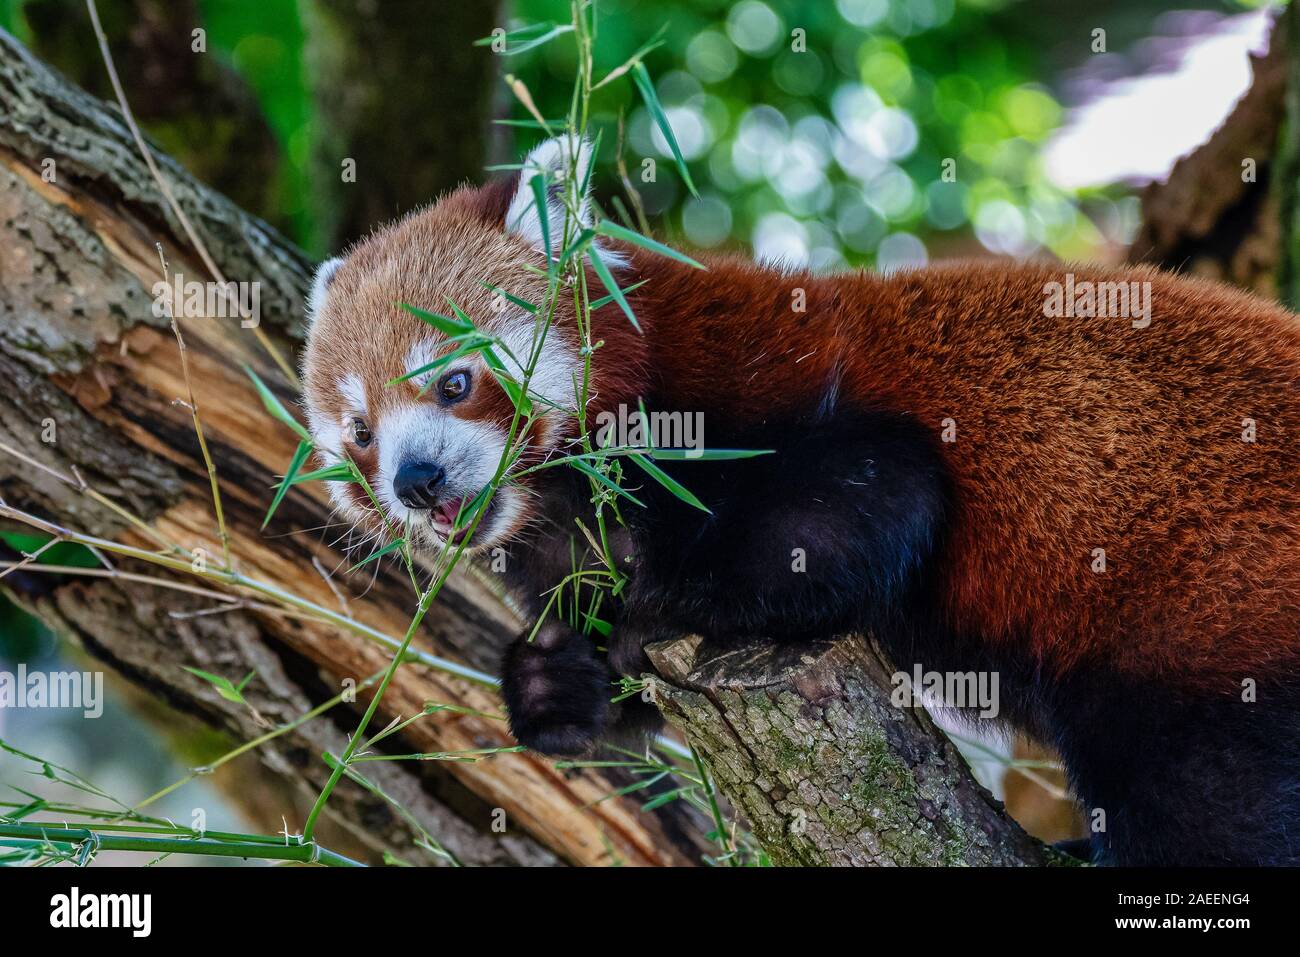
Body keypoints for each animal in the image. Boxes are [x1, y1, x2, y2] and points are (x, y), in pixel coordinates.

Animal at [299, 136, 1300, 868]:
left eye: (455, 380)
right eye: (360, 433)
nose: (416, 479)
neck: (571, 504)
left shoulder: (767, 404)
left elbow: (853, 517)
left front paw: (661, 609)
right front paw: (558, 678)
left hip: (1200, 625)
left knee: (1207, 803)